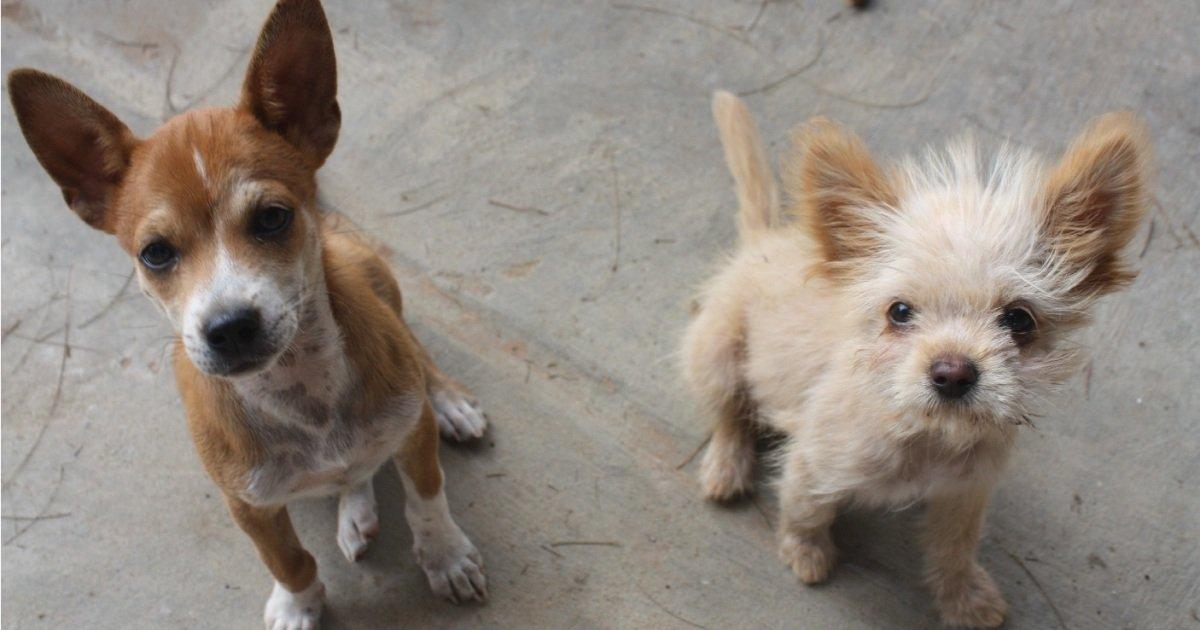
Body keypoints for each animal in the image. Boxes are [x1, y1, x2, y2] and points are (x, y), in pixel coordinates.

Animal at [8, 2, 487, 624]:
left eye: (272, 218)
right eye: (155, 253)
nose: (230, 328)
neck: (303, 390)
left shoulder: (413, 434)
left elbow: (427, 499)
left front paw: (446, 555)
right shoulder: (247, 505)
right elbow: (288, 559)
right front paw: (298, 603)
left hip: (378, 281)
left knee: (416, 349)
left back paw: (450, 403)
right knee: (353, 474)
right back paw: (354, 512)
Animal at [681, 90, 1147, 624]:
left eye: (1018, 319)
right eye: (899, 311)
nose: (953, 373)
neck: (928, 437)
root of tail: (765, 240)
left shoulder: (964, 494)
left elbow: (955, 548)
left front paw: (963, 597)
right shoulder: (811, 463)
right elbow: (805, 511)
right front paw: (806, 553)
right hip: (715, 356)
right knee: (729, 413)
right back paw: (727, 464)